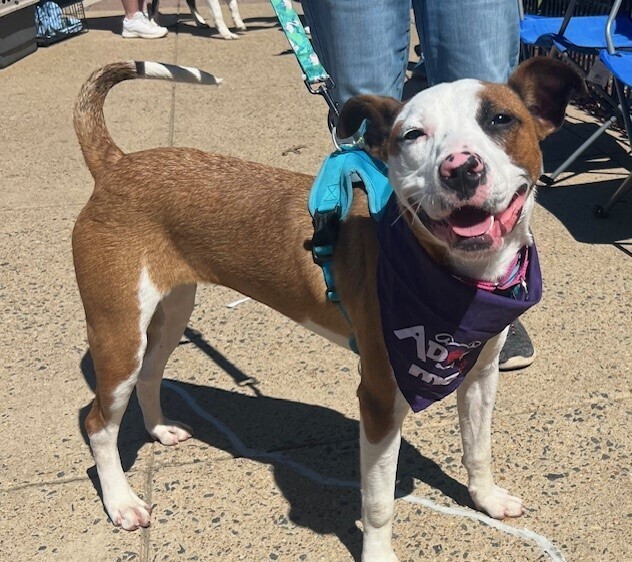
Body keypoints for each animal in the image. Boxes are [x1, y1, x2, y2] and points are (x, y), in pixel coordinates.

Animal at [73, 58, 584, 560]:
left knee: (150, 375)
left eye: (501, 119)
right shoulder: (379, 399)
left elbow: (478, 447)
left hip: (172, 313)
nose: (460, 168)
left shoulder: (480, 375)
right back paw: (120, 501)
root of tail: (116, 163)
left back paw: (159, 430)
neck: (458, 281)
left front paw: (486, 499)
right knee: (99, 422)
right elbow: (378, 502)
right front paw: (378, 555)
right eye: (413, 135)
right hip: (118, 331)